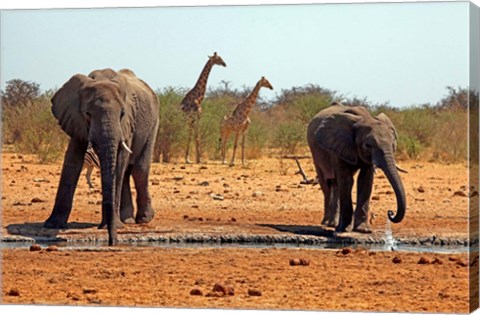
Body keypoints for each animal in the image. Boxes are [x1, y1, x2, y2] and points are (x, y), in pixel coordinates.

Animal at [43, 68, 159, 247]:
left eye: (122, 113)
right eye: (87, 114)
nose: (112, 241)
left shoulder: (127, 123)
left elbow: (119, 160)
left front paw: (113, 225)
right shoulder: (76, 120)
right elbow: (72, 160)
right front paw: (52, 224)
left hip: (153, 124)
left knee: (139, 170)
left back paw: (143, 219)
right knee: (126, 173)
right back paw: (126, 219)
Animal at [308, 102, 404, 233]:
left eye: (393, 144)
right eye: (368, 145)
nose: (390, 213)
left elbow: (365, 181)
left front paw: (363, 230)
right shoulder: (338, 146)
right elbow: (347, 181)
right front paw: (344, 229)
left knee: (336, 184)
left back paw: (333, 224)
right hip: (315, 154)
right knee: (327, 184)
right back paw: (328, 223)